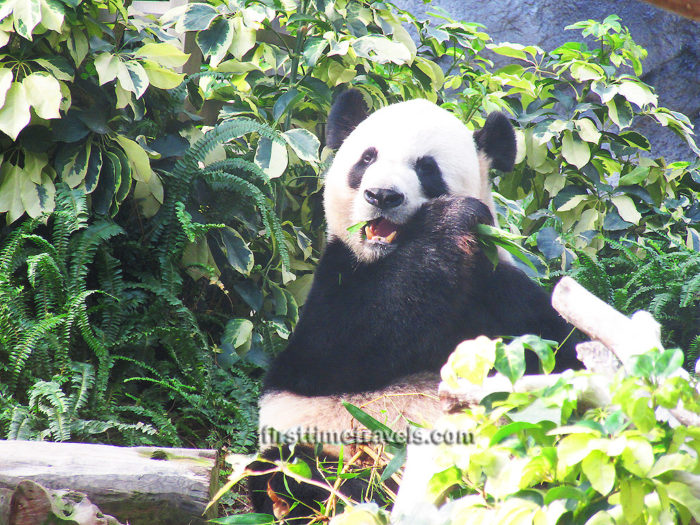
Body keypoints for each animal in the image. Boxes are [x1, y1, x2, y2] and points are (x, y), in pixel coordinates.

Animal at [248, 89, 579, 520]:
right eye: (367, 158)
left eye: (427, 168)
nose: (382, 196)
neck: (387, 255)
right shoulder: (335, 279)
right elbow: (340, 347)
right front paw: (451, 219)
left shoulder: (501, 292)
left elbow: (564, 351)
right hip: (324, 447)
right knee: (292, 473)